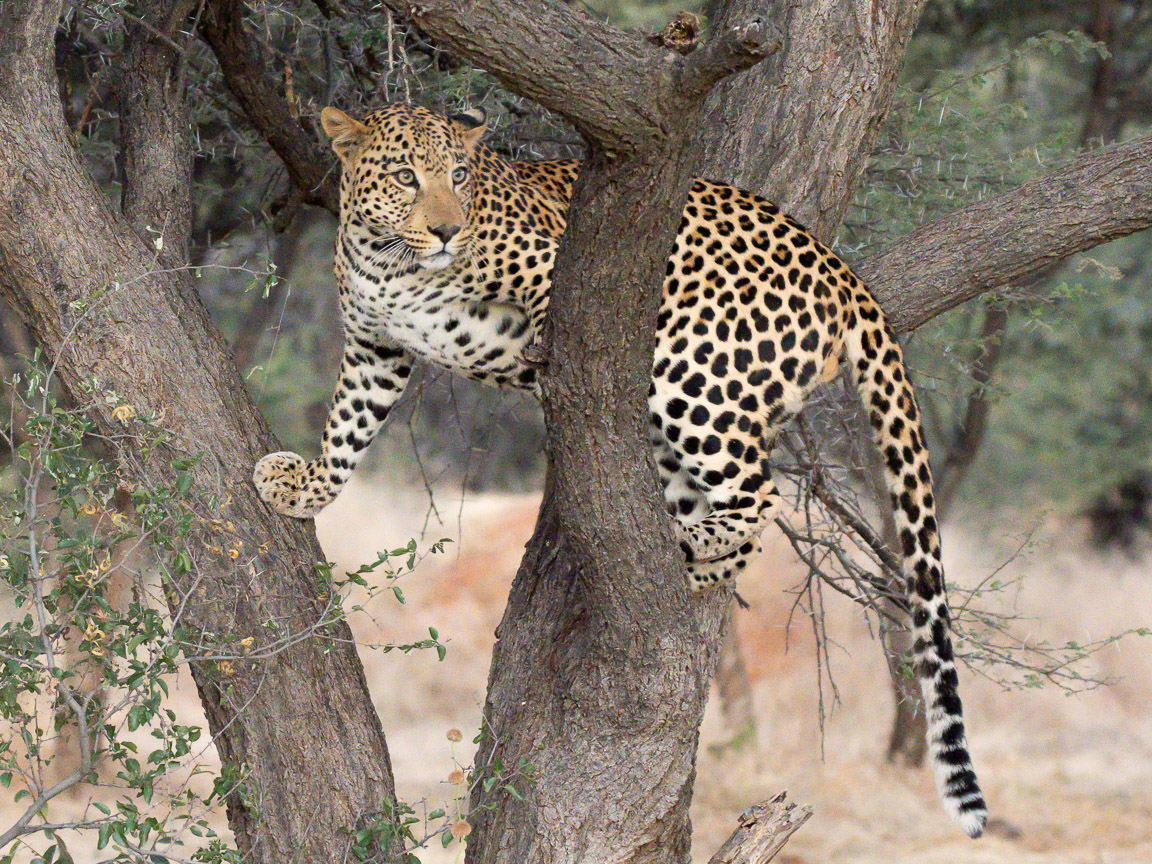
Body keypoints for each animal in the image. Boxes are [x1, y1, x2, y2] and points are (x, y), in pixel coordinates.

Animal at [252, 103, 987, 838]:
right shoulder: (374, 349)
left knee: (762, 492)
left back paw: (685, 541)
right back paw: (685, 561)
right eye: (406, 176)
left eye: (459, 175)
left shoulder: (564, 270)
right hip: (672, 429)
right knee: (728, 515)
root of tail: (843, 271)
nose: (446, 230)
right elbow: (347, 427)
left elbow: (553, 319)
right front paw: (304, 487)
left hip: (692, 370)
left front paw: (538, 362)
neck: (389, 262)